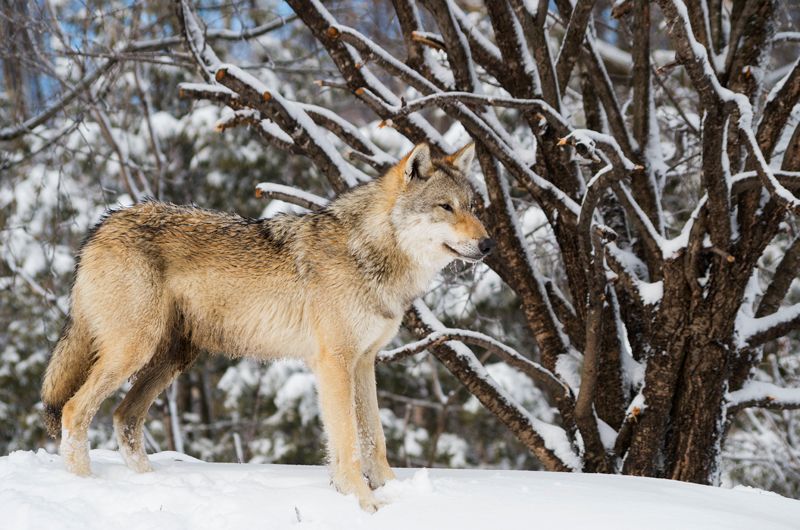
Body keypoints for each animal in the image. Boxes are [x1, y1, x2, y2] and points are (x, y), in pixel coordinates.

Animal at [41, 142, 494, 511]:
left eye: (474, 206)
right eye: (446, 207)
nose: (489, 244)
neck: (369, 253)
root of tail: (99, 228)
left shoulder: (365, 362)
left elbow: (374, 438)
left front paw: (392, 493)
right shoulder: (334, 363)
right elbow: (347, 442)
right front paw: (363, 503)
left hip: (172, 359)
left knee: (125, 417)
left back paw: (149, 486)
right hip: (134, 350)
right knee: (75, 410)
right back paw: (87, 486)